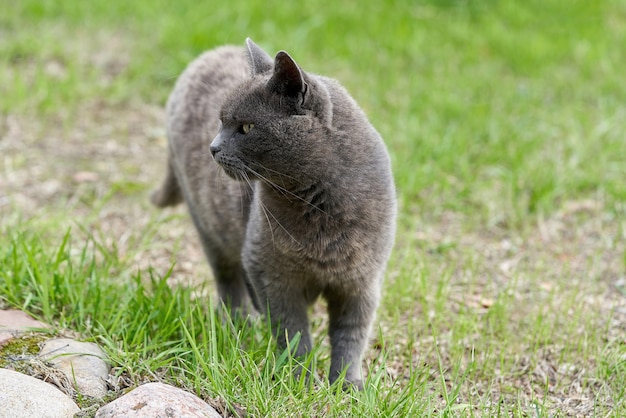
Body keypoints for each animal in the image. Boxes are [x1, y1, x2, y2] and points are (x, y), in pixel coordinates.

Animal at [152, 39, 394, 388]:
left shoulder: (361, 282)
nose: (212, 147)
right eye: (221, 121)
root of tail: (210, 53)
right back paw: (240, 324)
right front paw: (300, 380)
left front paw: (347, 386)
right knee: (228, 279)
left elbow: (350, 336)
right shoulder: (272, 274)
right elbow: (292, 332)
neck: (319, 206)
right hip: (210, 226)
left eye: (246, 127)